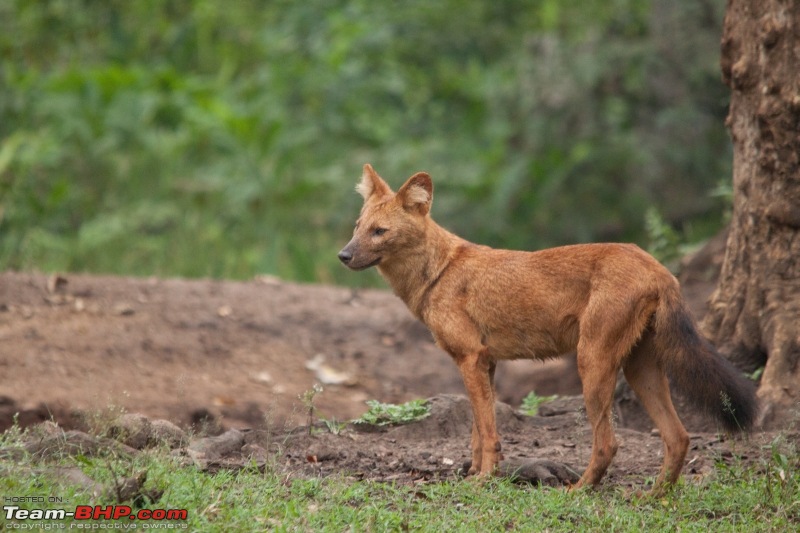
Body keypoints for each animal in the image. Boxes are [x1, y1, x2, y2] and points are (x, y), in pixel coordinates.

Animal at [338, 164, 756, 492]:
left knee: (609, 443)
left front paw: (483, 480)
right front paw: (475, 474)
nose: (343, 255)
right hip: (641, 370)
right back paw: (652, 497)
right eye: (357, 227)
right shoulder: (486, 362)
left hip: (592, 362)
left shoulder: (471, 358)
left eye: (380, 231)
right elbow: (477, 430)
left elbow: (487, 432)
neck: (436, 273)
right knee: (679, 437)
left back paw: (579, 490)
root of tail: (659, 267)